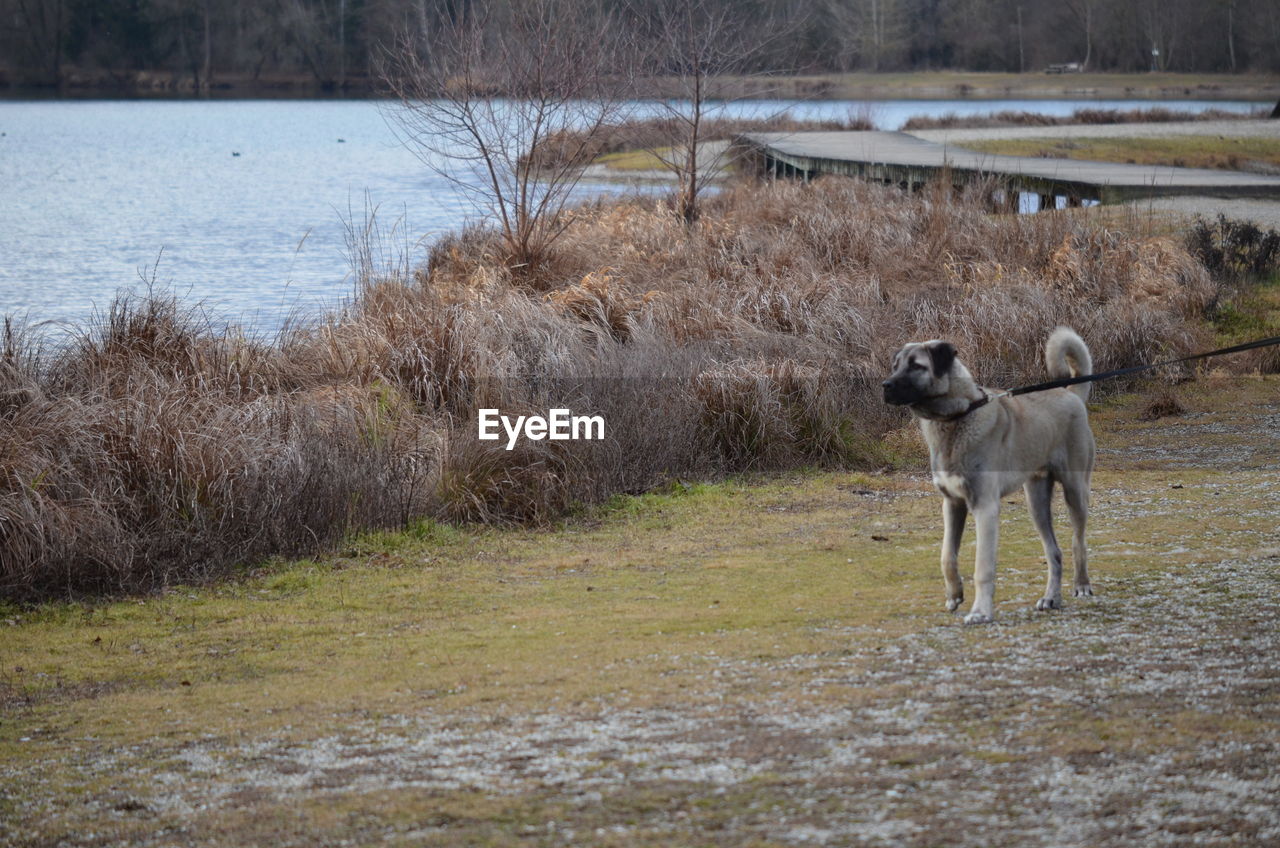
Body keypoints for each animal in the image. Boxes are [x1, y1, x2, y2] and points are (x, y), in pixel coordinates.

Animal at [880, 325, 1100, 625]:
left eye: (916, 366)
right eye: (896, 366)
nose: (885, 386)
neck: (957, 416)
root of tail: (1070, 394)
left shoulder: (984, 507)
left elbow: (982, 567)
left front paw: (981, 611)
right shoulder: (952, 504)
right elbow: (947, 555)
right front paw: (954, 595)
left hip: (1075, 490)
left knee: (1079, 542)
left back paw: (1082, 585)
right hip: (1036, 502)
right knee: (1054, 551)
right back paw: (1051, 597)